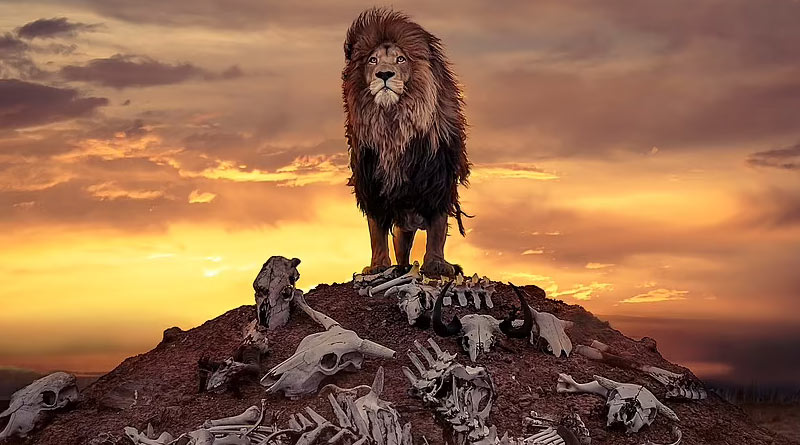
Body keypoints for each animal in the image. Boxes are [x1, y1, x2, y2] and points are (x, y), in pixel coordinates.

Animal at [342, 8, 470, 277]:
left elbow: (437, 228)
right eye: (373, 60)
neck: (394, 122)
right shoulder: (372, 183)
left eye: (400, 59)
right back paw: (401, 267)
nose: (384, 74)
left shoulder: (438, 180)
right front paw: (378, 266)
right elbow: (376, 231)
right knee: (400, 244)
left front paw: (436, 264)